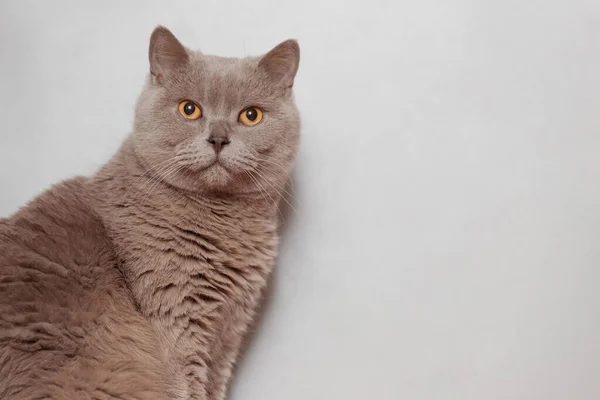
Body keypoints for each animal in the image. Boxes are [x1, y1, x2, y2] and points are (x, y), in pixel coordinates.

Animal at [0, 25, 300, 400]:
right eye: (189, 109)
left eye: (251, 115)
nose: (218, 139)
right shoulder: (176, 318)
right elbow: (188, 387)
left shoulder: (227, 331)